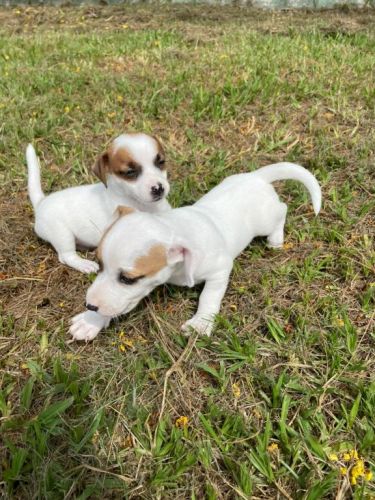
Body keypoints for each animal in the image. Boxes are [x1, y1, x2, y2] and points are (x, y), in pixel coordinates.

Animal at [26, 133, 172, 274]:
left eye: (161, 162)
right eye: (130, 172)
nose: (158, 188)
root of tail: (41, 203)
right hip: (62, 234)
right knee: (66, 256)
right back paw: (84, 264)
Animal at [70, 162, 324, 342]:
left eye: (128, 279)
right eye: (100, 265)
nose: (89, 306)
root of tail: (257, 176)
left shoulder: (220, 270)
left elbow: (208, 297)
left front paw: (201, 322)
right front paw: (91, 322)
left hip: (265, 219)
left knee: (282, 209)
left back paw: (276, 239)